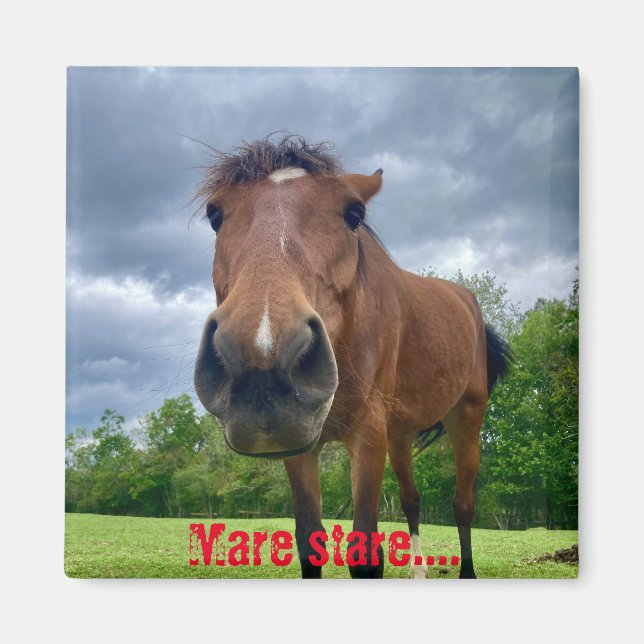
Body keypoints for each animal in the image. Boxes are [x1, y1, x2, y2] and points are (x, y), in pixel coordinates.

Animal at [194, 135, 511, 579]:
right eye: (215, 215)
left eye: (354, 212)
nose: (262, 359)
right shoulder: (302, 445)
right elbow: (310, 543)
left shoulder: (368, 432)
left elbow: (366, 553)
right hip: (400, 434)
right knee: (412, 500)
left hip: (465, 419)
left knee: (463, 505)